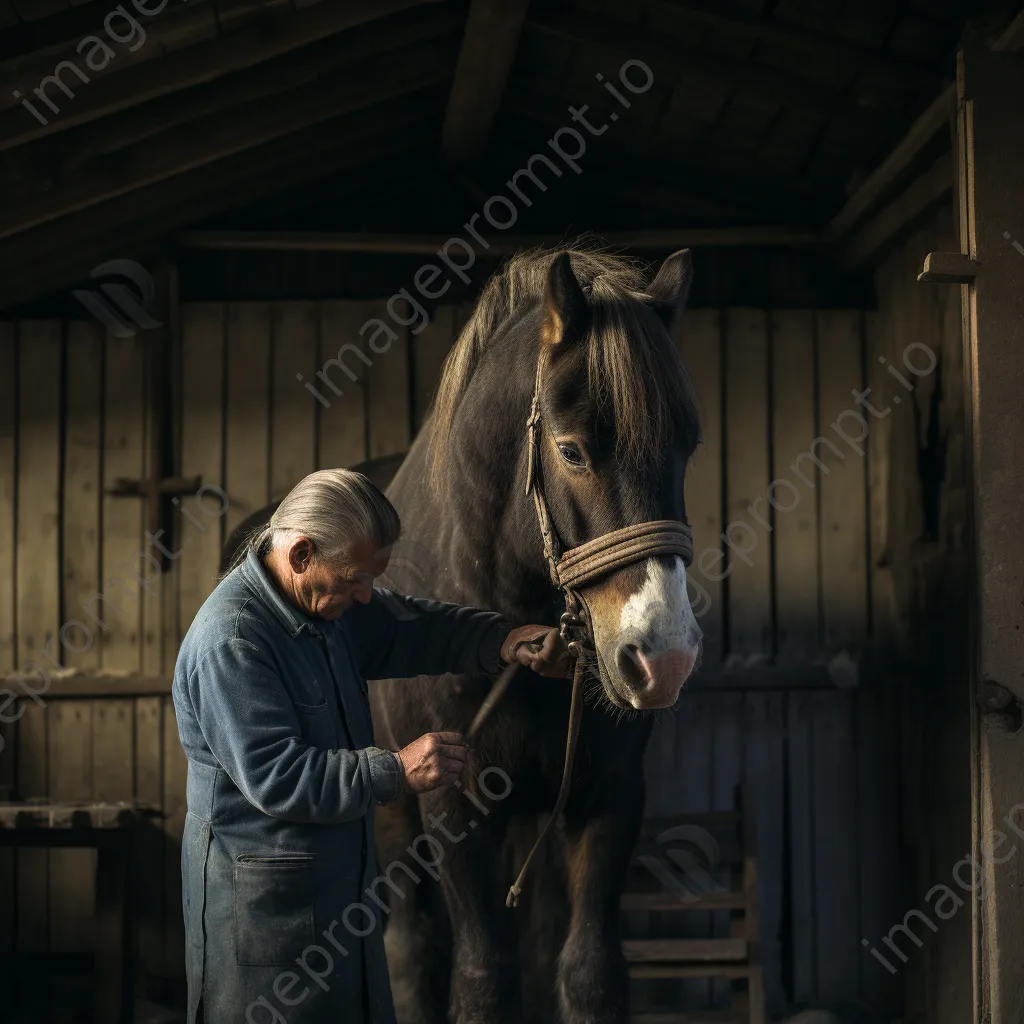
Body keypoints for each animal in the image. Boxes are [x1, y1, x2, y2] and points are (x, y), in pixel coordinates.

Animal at [224, 247, 704, 1024]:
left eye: (688, 447)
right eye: (572, 451)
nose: (663, 659)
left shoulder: (608, 797)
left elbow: (587, 972)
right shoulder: (453, 806)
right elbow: (482, 975)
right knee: (411, 948)